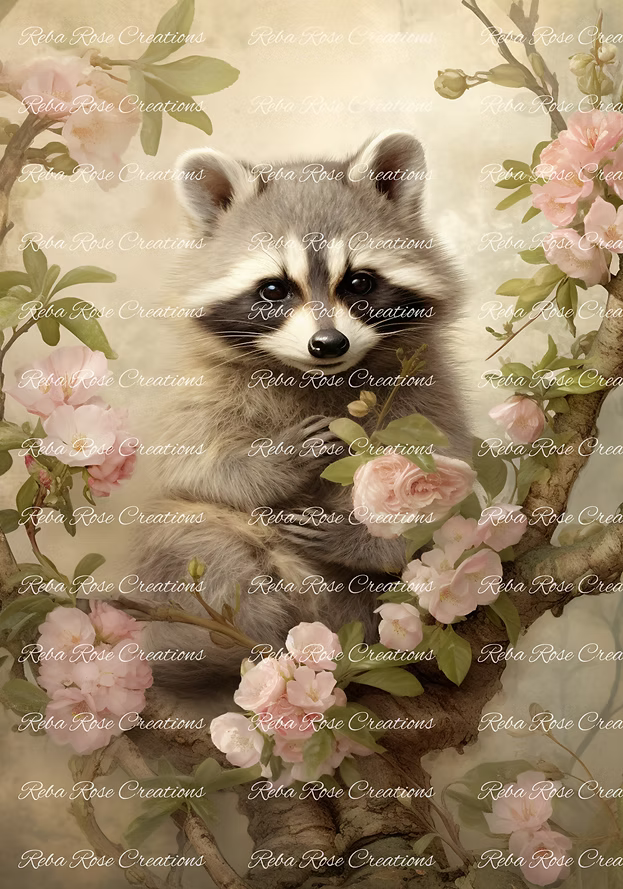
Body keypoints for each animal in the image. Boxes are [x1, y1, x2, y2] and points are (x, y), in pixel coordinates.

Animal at [136, 131, 471, 687]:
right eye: (274, 288)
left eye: (359, 283)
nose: (328, 343)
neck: (319, 376)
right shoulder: (197, 386)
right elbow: (187, 467)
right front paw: (272, 462)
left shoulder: (427, 389)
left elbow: (447, 488)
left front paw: (362, 534)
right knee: (201, 542)